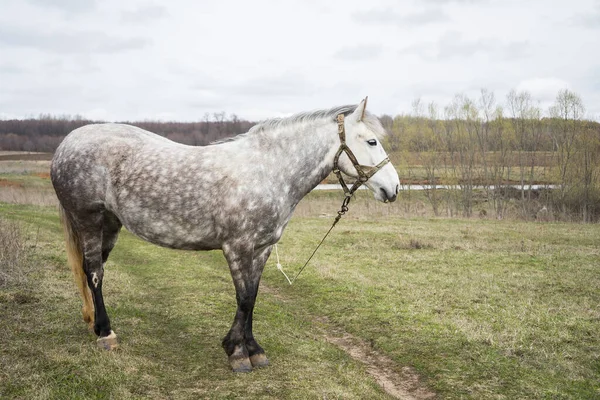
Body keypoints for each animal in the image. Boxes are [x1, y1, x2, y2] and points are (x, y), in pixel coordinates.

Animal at [51, 98, 398, 374]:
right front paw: (237, 352)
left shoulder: (261, 249)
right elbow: (243, 298)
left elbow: (253, 297)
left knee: (92, 271)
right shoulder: (237, 247)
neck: (268, 170)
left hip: (110, 224)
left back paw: (96, 325)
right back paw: (106, 335)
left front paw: (254, 350)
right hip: (89, 221)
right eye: (371, 142)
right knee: (94, 273)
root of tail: (65, 145)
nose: (393, 188)